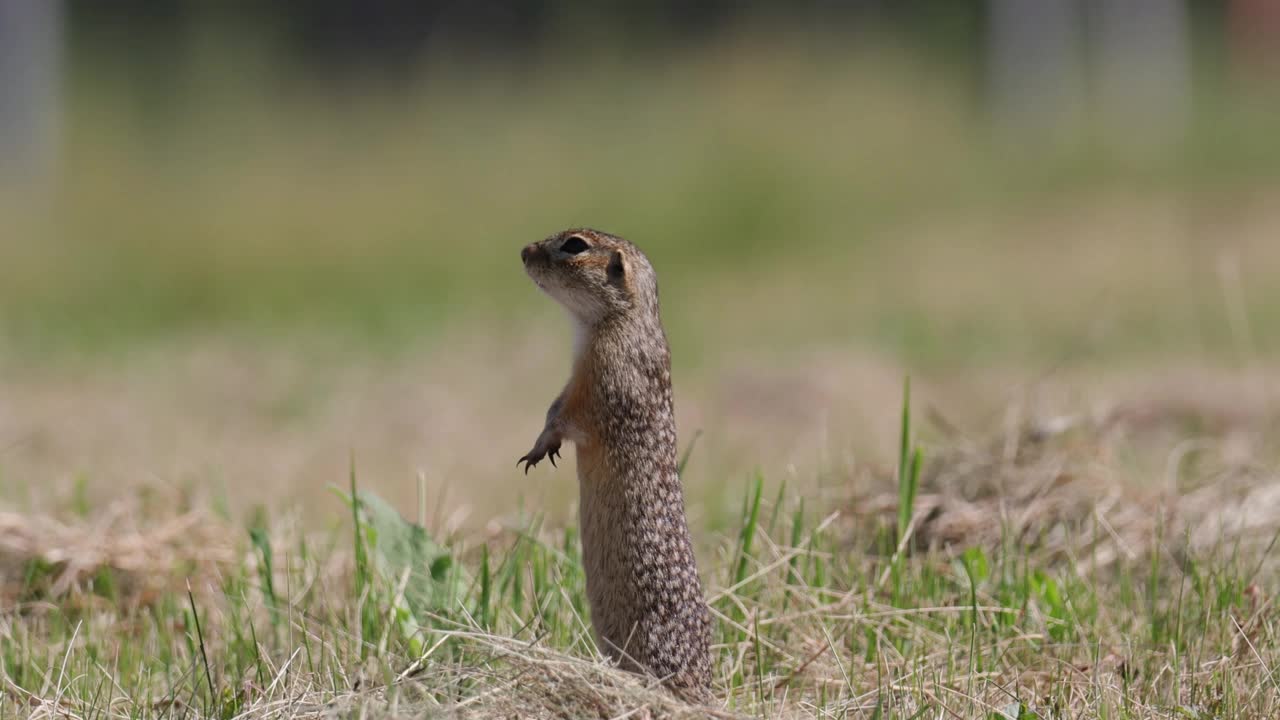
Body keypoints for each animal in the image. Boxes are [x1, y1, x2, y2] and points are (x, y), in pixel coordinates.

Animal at [519, 228, 721, 696]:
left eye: (575, 245)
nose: (523, 251)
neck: (625, 321)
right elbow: (554, 404)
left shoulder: (603, 380)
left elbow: (567, 416)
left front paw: (542, 443)